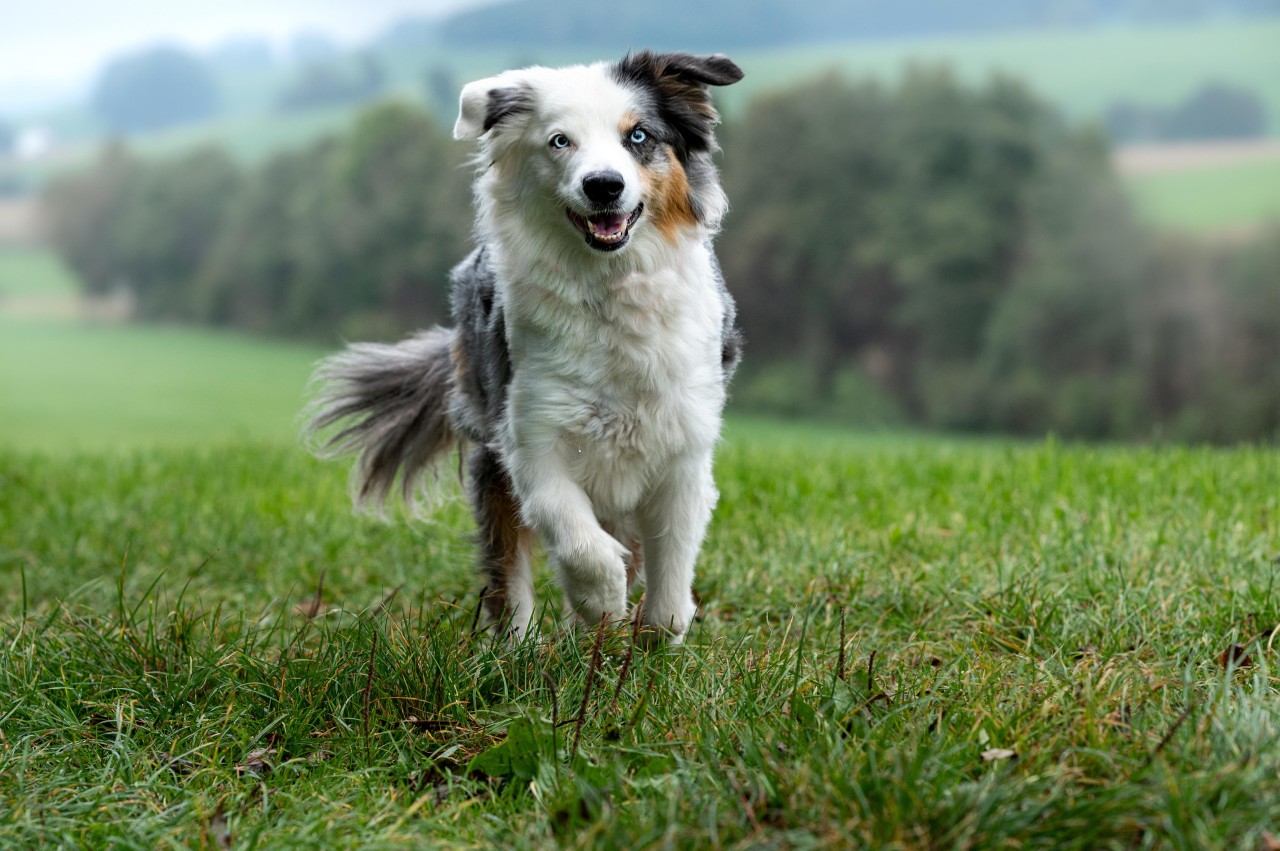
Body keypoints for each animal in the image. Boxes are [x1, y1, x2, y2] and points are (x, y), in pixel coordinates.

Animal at [307, 49, 742, 639]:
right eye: (560, 141)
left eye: (639, 136)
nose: (603, 185)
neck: (608, 292)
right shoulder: (530, 437)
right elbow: (578, 541)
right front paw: (601, 600)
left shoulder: (682, 447)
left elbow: (670, 567)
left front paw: (653, 638)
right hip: (490, 453)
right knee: (508, 561)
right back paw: (518, 644)